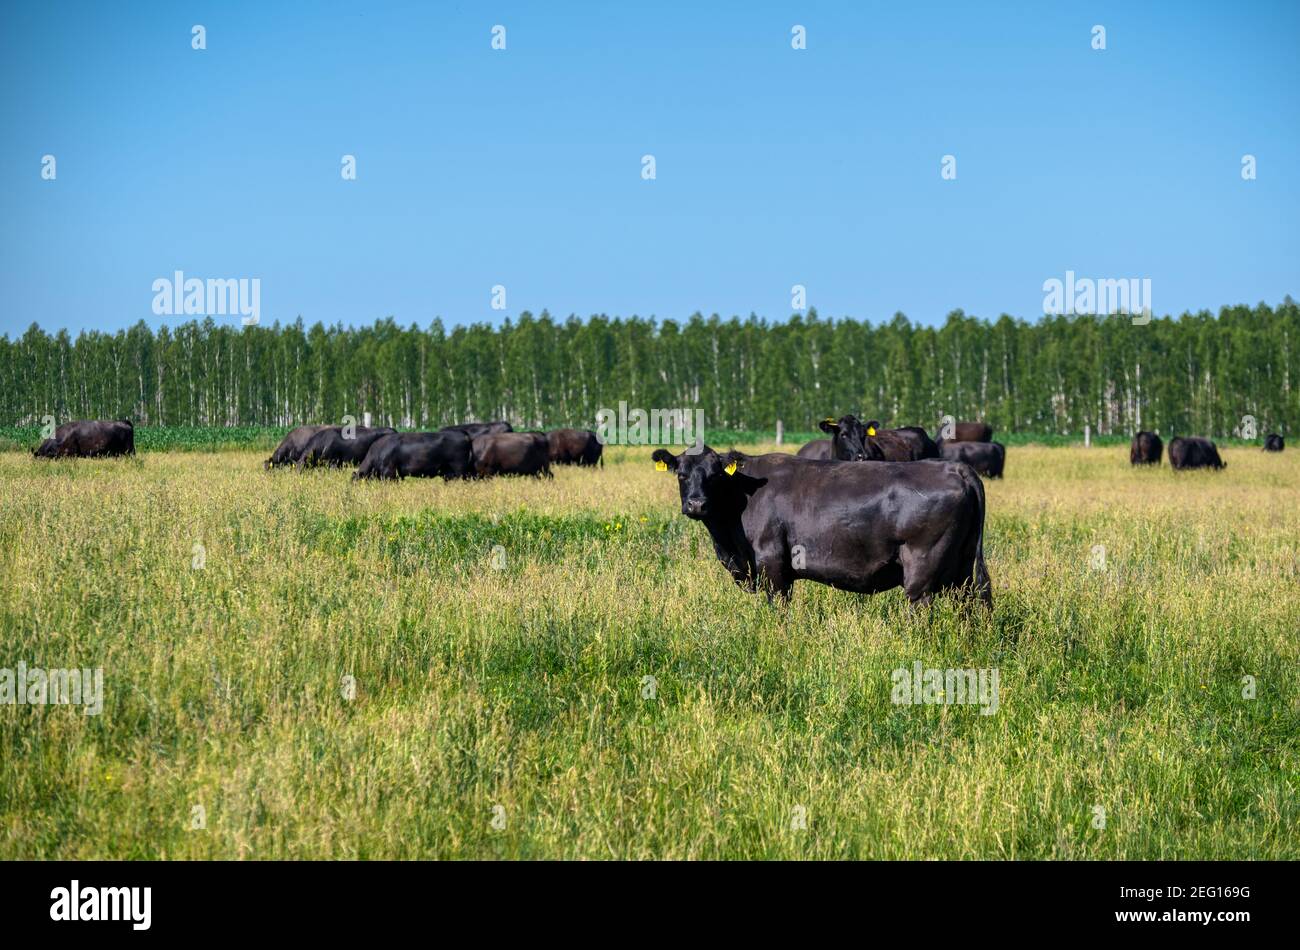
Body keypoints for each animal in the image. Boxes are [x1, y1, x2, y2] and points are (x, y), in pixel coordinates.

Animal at [650, 446, 991, 608]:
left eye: (715, 475)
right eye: (681, 473)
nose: (696, 504)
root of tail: (953, 467)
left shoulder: (771, 560)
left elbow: (778, 607)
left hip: (923, 566)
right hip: (961, 569)